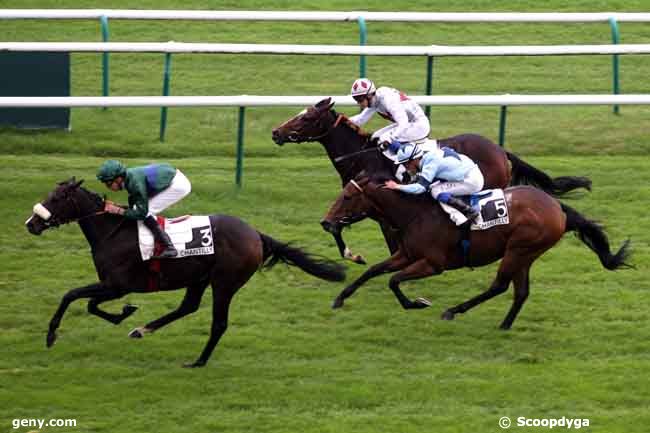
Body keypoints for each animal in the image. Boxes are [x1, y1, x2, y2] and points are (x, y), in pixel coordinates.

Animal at [26, 177, 344, 366]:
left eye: (56, 199)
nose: (31, 224)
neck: (113, 232)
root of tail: (255, 234)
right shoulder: (113, 285)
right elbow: (89, 304)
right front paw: (125, 314)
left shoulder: (117, 285)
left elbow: (74, 296)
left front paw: (51, 335)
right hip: (199, 278)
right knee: (188, 306)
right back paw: (142, 330)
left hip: (224, 282)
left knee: (218, 323)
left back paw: (198, 361)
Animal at [270, 98, 588, 264]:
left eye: (306, 118)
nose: (275, 132)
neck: (362, 156)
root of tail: (500, 150)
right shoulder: (361, 205)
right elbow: (336, 227)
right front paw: (356, 256)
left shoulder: (378, 208)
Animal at [318, 176, 628, 328]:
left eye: (347, 196)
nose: (325, 222)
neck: (415, 214)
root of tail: (557, 207)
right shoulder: (406, 255)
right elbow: (373, 270)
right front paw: (340, 298)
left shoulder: (433, 263)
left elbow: (393, 281)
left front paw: (417, 303)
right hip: (525, 254)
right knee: (520, 292)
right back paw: (504, 325)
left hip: (519, 249)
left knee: (499, 286)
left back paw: (453, 311)